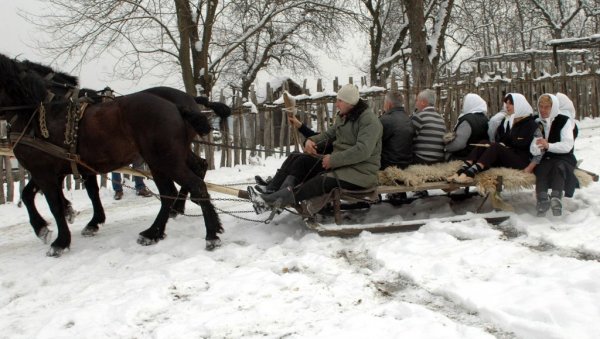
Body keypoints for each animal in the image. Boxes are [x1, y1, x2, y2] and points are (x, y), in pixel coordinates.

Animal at [0, 53, 225, 256]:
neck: (36, 112)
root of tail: (178, 104)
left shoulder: (44, 171)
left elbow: (53, 204)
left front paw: (59, 240)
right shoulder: (64, 168)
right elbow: (35, 194)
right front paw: (76, 219)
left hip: (164, 159)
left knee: (193, 185)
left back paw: (209, 234)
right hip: (168, 157)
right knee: (186, 178)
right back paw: (157, 230)